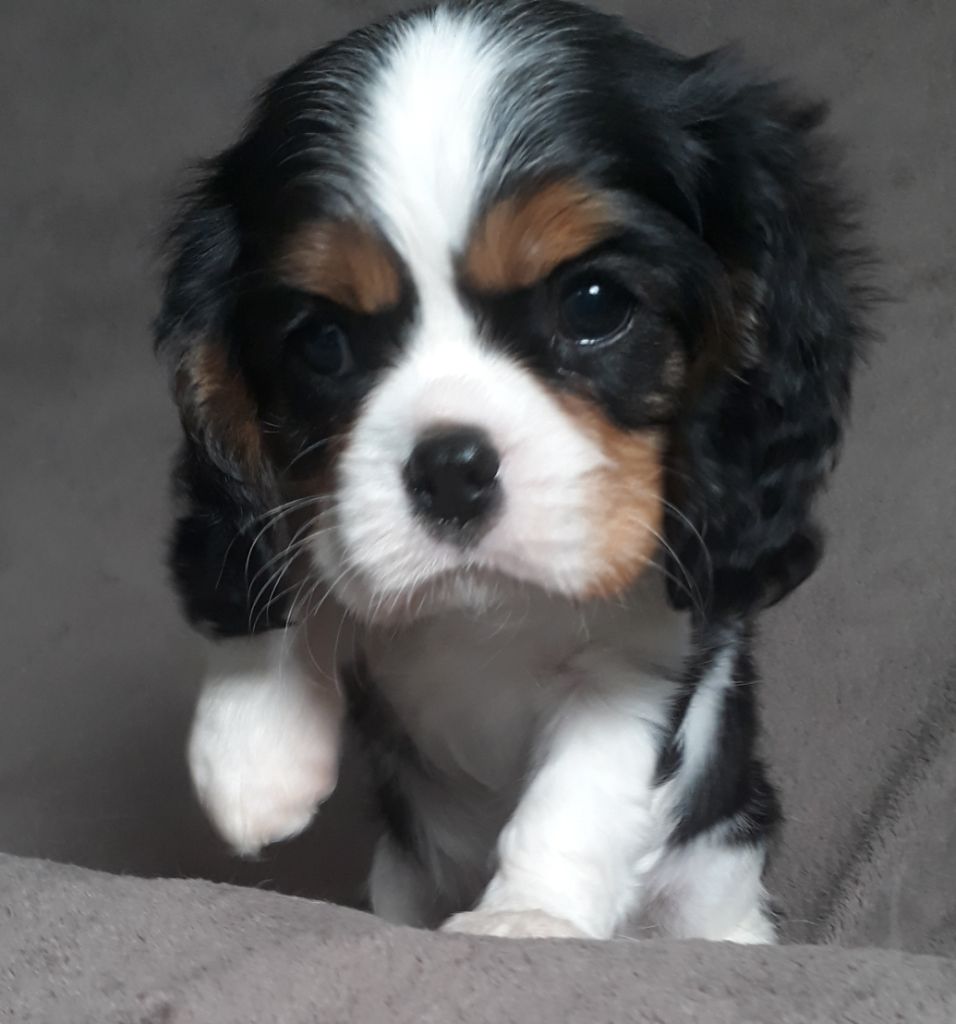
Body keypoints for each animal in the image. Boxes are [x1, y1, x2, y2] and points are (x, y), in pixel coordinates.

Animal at [156, 0, 869, 941]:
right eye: (323, 343)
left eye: (594, 305)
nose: (451, 470)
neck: (487, 615)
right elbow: (286, 552)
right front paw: (251, 750)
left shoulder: (649, 652)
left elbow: (579, 787)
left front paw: (526, 918)